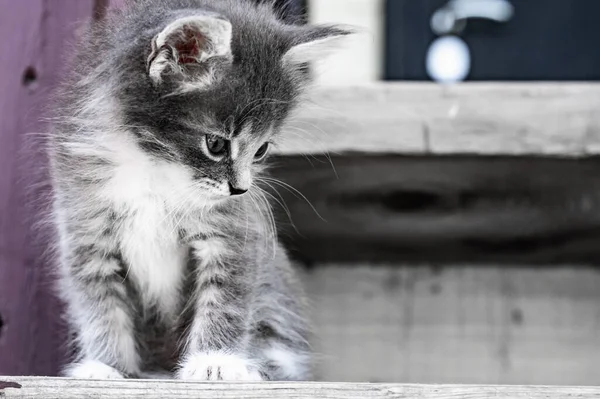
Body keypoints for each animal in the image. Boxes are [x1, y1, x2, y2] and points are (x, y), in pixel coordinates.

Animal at [49, 0, 350, 382]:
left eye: (262, 149)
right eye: (216, 144)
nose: (240, 189)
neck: (155, 170)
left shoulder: (234, 235)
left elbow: (225, 301)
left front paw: (215, 360)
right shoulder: (86, 232)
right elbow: (100, 304)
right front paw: (107, 365)